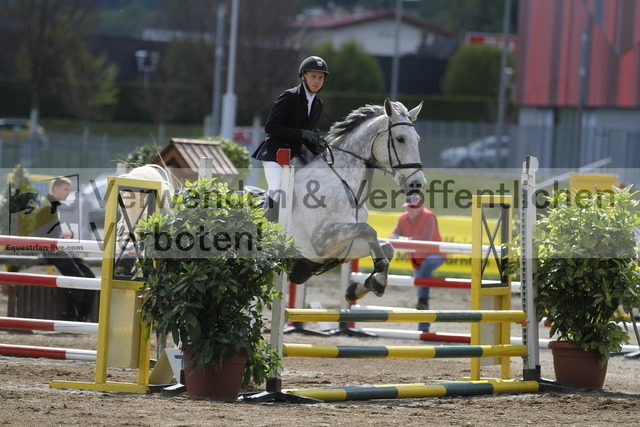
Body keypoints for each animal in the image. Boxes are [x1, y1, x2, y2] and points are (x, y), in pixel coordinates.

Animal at [287, 98, 426, 302]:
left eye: (417, 139)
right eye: (400, 139)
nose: (417, 183)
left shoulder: (345, 248)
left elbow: (386, 247)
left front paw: (360, 288)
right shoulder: (321, 243)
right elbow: (368, 230)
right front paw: (378, 282)